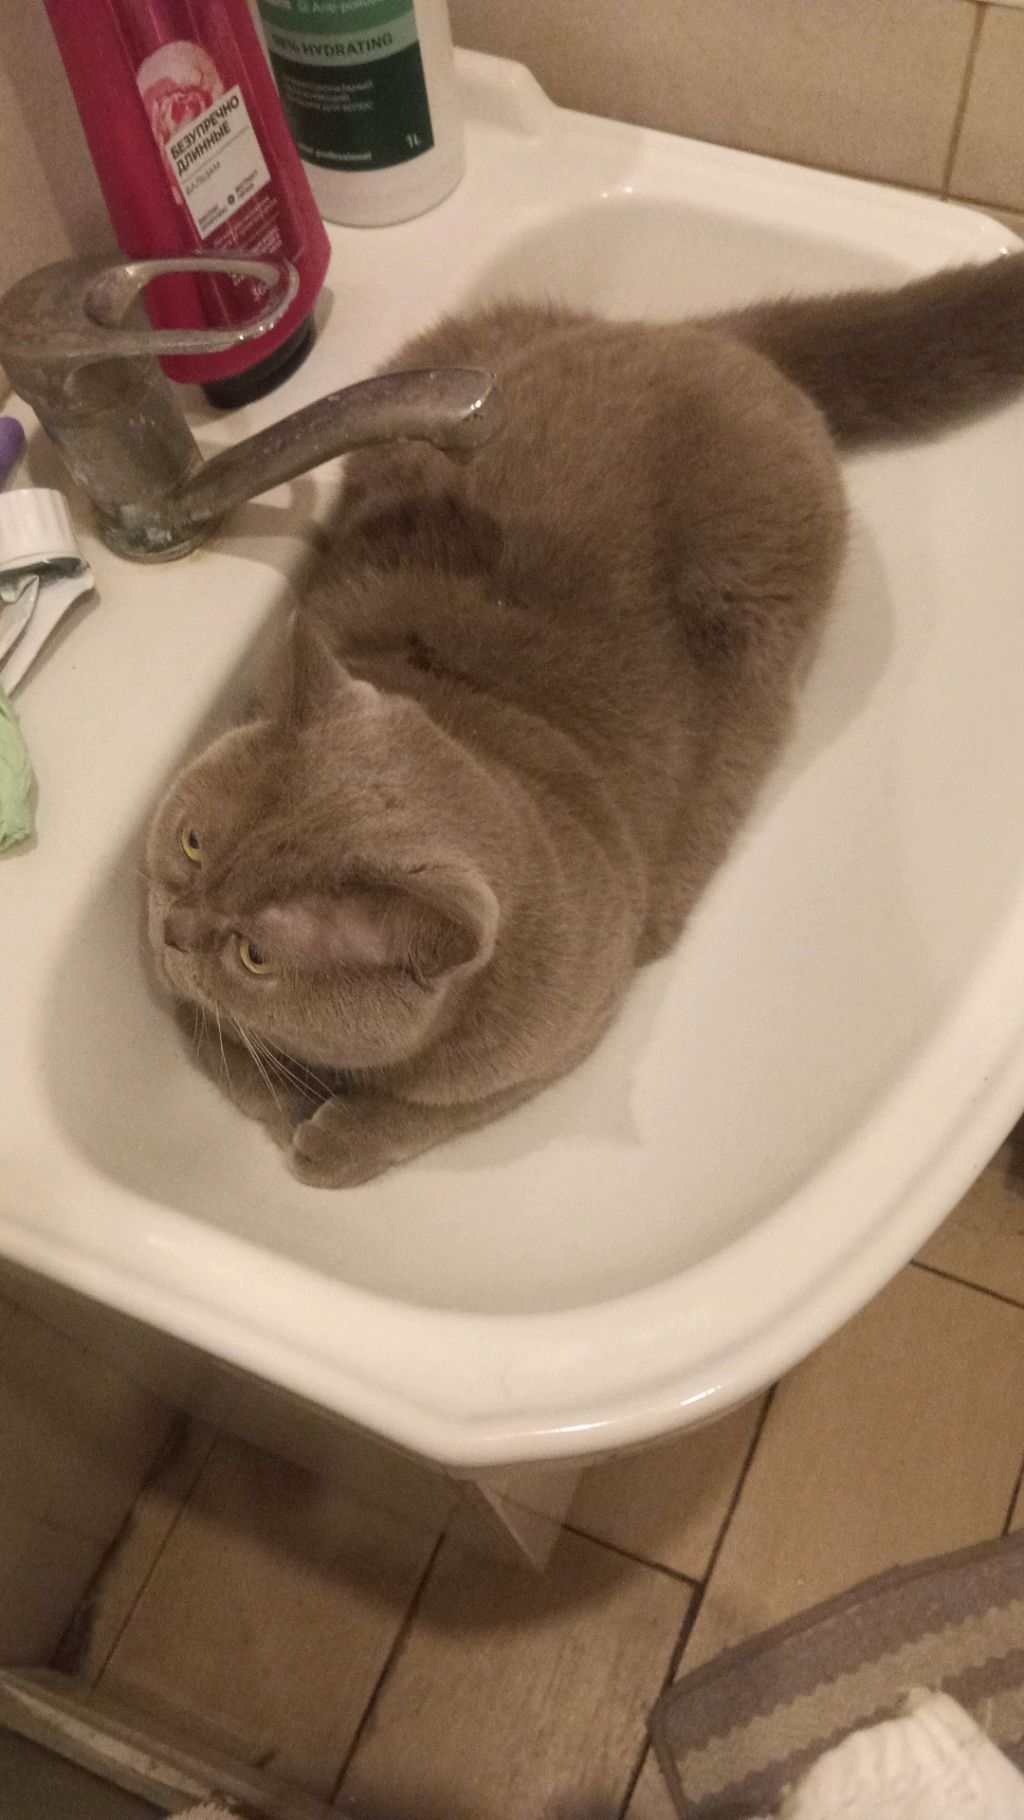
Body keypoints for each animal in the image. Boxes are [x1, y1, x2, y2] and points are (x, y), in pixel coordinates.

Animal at [147, 252, 1024, 1187]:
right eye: (194, 842)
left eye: (255, 955)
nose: (174, 928)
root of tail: (705, 341)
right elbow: (223, 1046)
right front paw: (286, 1097)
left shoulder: (573, 1024)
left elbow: (431, 1111)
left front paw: (336, 1138)